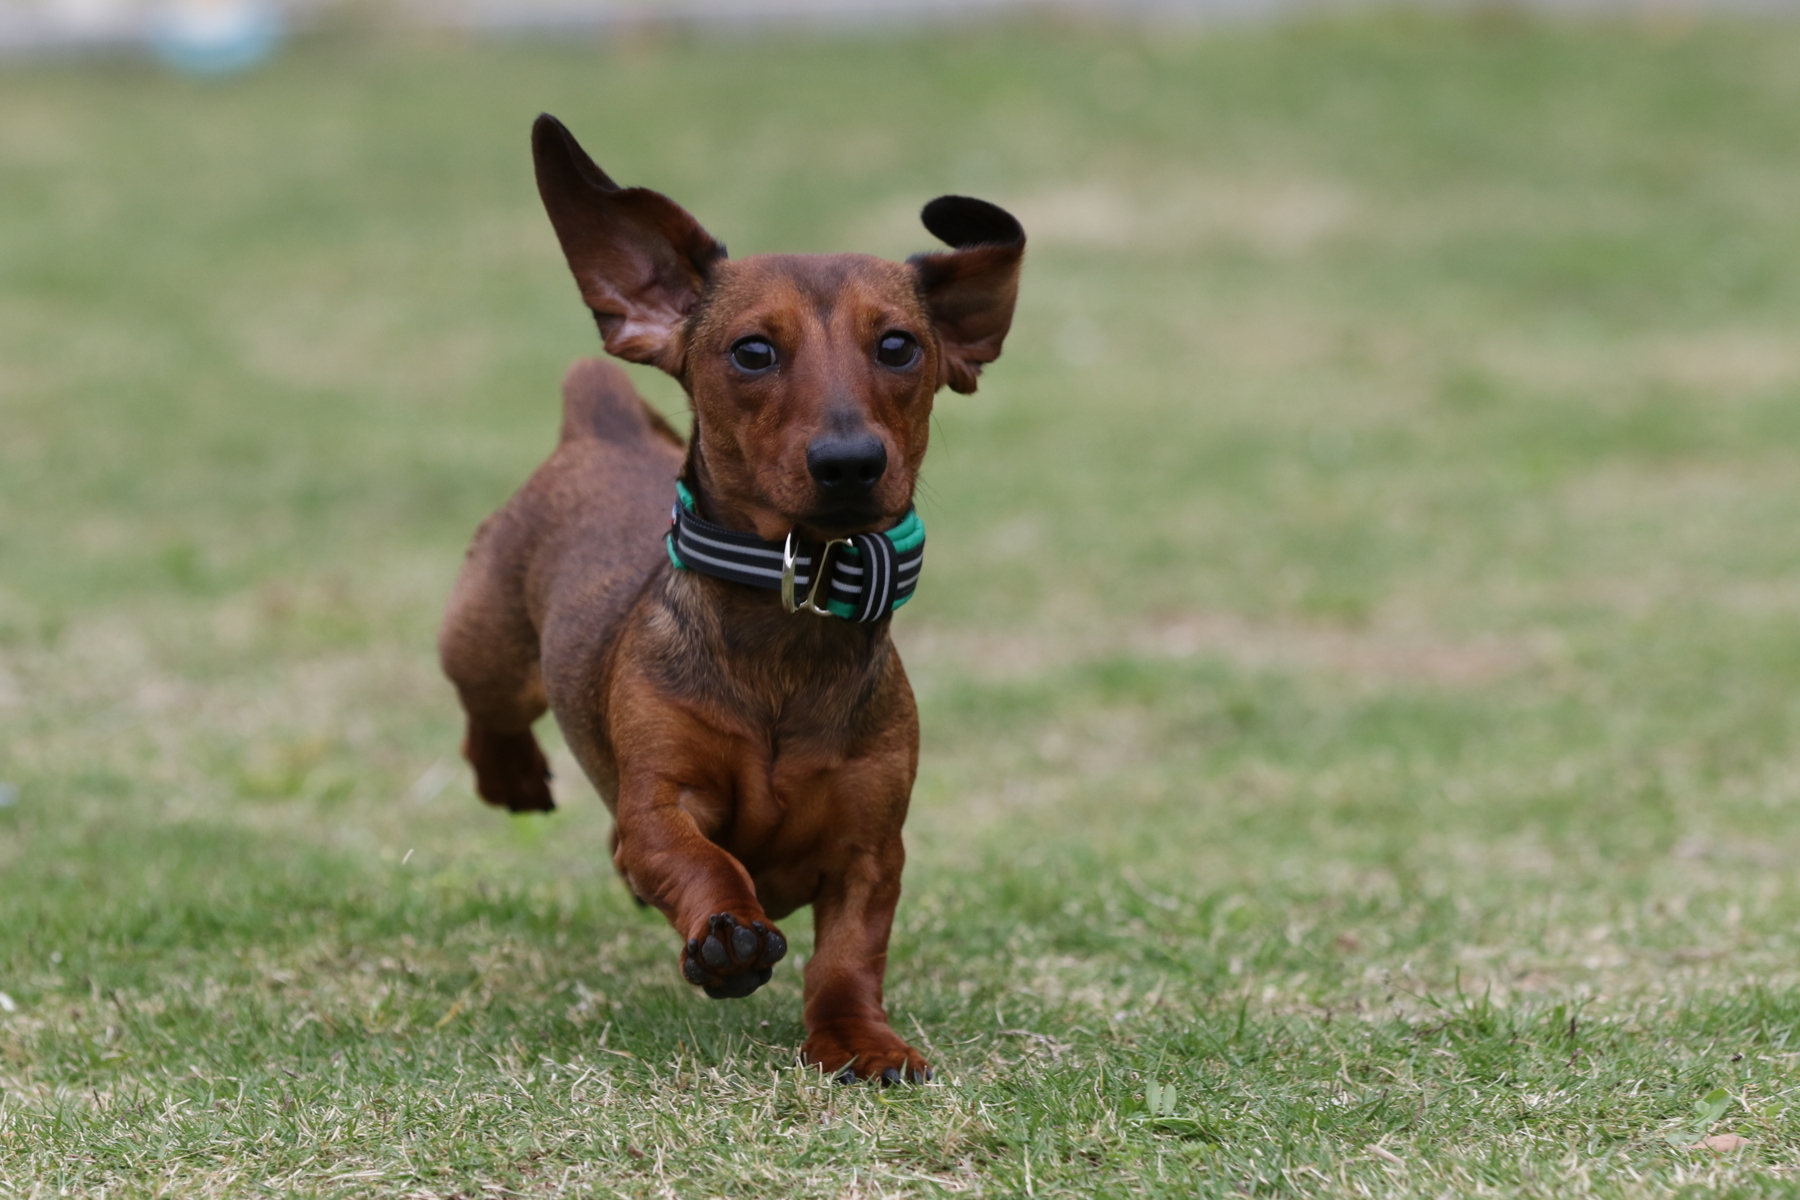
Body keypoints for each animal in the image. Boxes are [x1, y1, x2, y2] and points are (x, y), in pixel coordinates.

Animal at [439, 115, 1029, 1086]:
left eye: (898, 345)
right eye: (753, 350)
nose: (849, 462)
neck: (788, 626)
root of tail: (599, 425)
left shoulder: (871, 849)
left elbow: (849, 955)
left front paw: (859, 1039)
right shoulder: (658, 805)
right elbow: (694, 859)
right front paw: (726, 936)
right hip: (481, 644)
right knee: (487, 714)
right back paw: (513, 773)